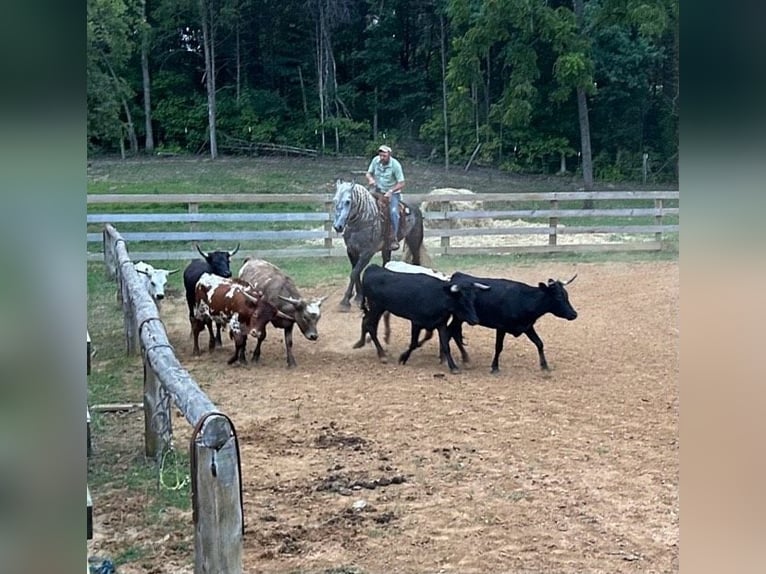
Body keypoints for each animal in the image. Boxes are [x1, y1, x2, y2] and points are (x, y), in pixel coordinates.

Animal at [332, 181, 428, 310]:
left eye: (348, 201)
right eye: (335, 200)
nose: (338, 226)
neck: (362, 221)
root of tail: (415, 209)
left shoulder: (367, 253)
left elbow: (354, 272)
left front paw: (345, 301)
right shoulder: (351, 251)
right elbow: (355, 272)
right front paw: (358, 297)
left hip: (414, 241)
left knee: (416, 261)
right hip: (387, 248)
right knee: (386, 262)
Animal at [356, 264, 488, 376]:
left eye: (473, 299)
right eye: (462, 300)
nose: (475, 320)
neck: (438, 297)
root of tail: (373, 268)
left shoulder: (441, 324)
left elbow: (445, 345)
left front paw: (453, 367)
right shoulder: (416, 322)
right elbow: (414, 343)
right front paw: (403, 358)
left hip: (378, 309)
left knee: (366, 322)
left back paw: (362, 343)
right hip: (376, 307)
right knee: (370, 325)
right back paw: (382, 355)